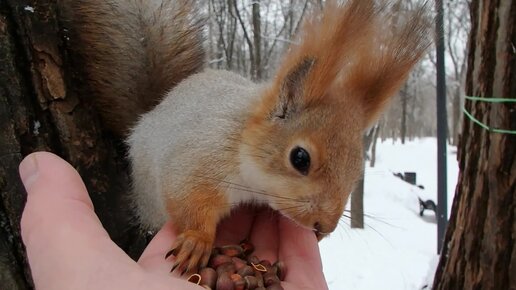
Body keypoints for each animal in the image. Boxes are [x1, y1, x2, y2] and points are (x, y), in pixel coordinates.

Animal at [61, 0, 432, 274]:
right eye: (300, 158)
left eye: (358, 169)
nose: (323, 228)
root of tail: (149, 113)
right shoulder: (197, 160)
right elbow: (187, 199)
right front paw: (197, 241)